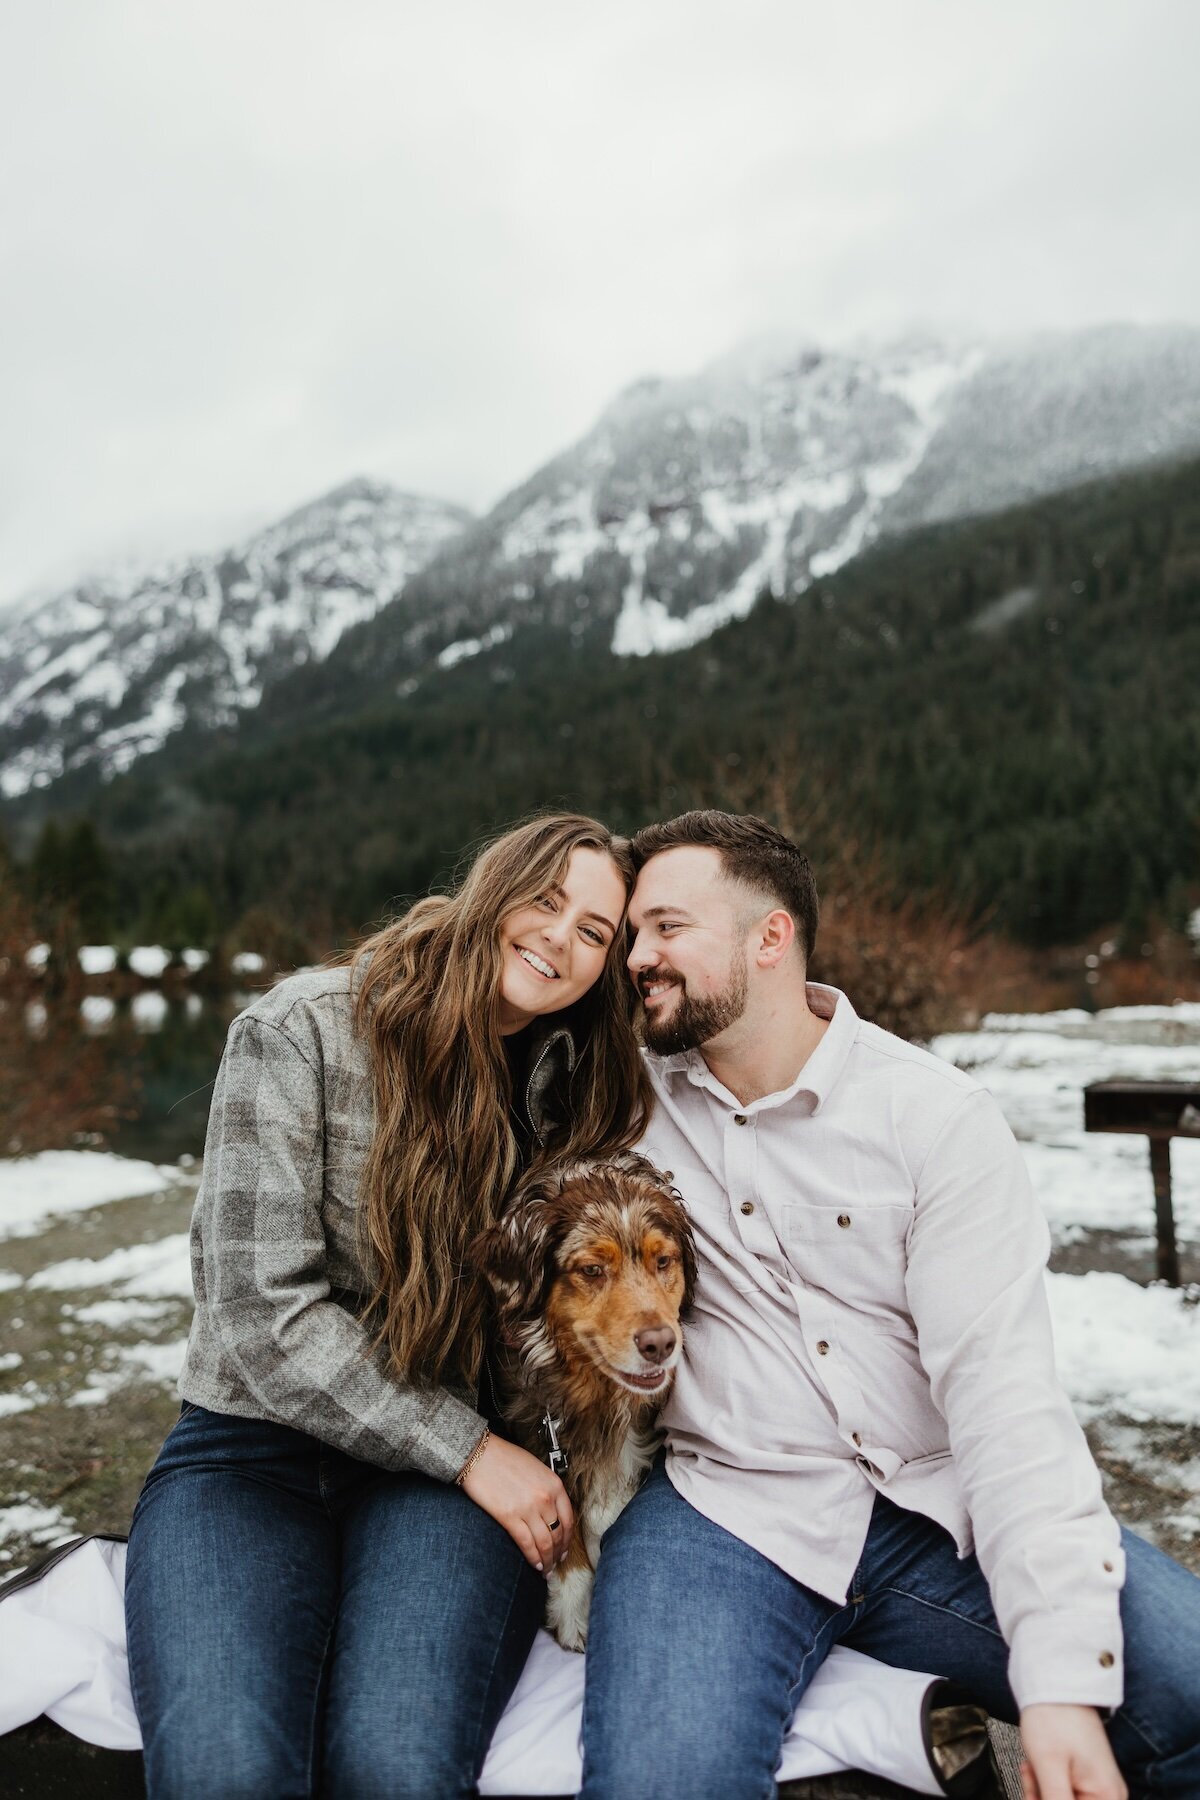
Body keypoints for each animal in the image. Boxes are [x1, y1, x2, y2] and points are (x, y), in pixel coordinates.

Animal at [467, 1152, 694, 1648]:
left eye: (663, 1260)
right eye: (591, 1270)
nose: (660, 1344)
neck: (598, 1393)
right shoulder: (536, 1428)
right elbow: (561, 1513)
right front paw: (575, 1604)